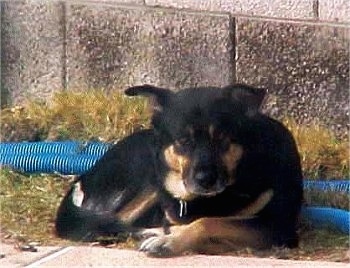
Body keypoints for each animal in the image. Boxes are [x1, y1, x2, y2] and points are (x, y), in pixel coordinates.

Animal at [55, 85, 304, 256]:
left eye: (221, 138)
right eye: (183, 140)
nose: (205, 180)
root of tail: (86, 173)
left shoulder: (275, 227)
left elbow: (208, 222)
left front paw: (174, 239)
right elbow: (201, 222)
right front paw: (170, 239)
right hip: (147, 175)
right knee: (111, 222)